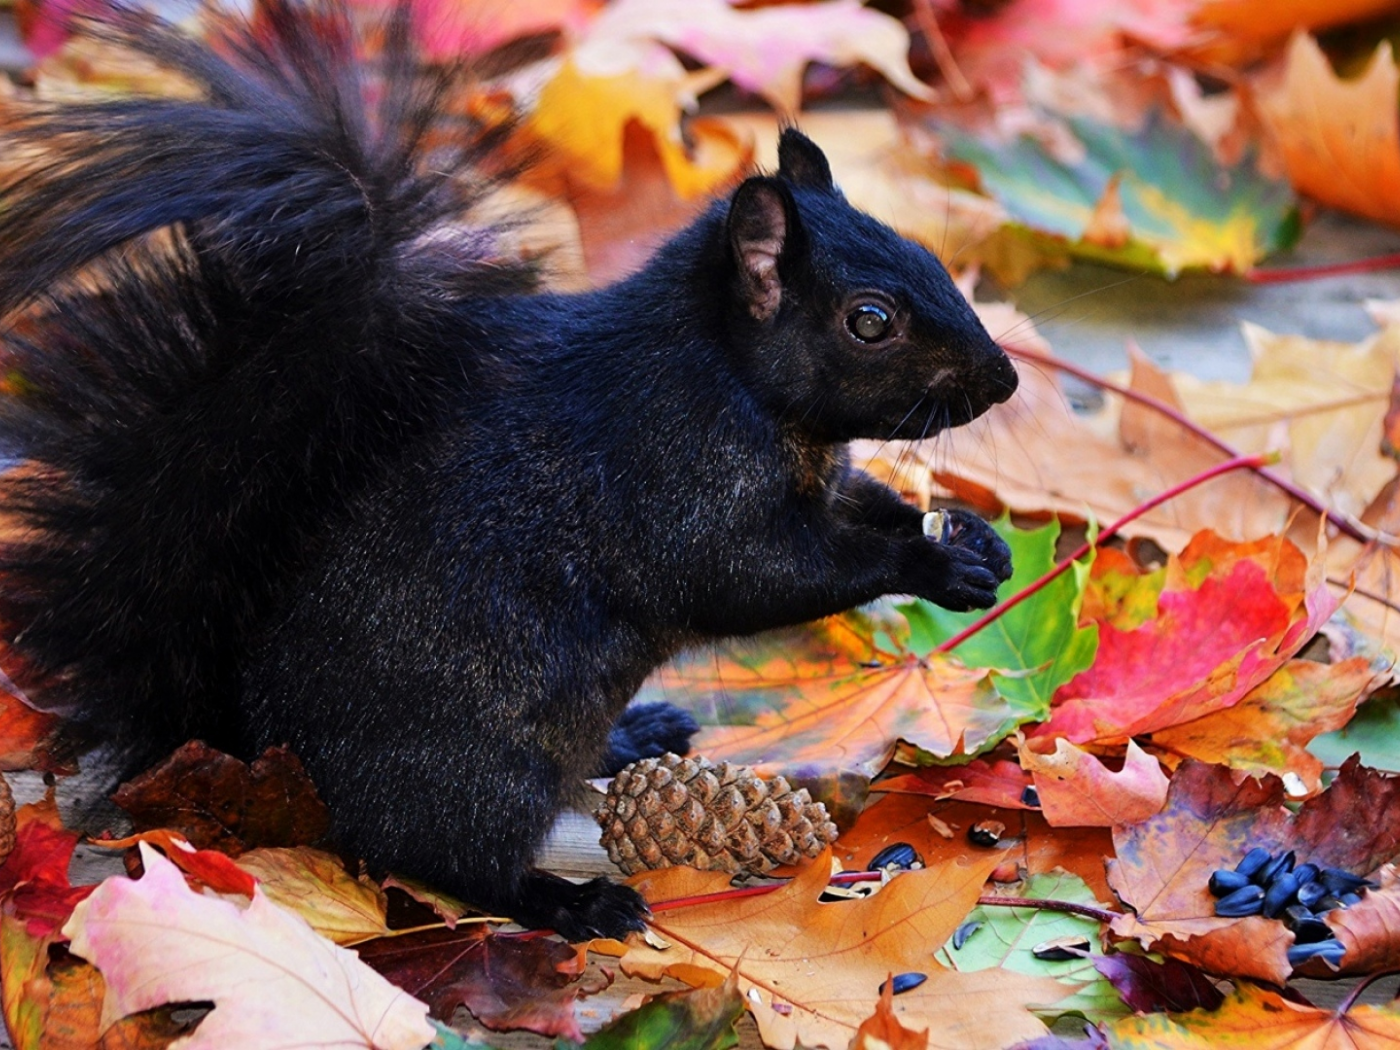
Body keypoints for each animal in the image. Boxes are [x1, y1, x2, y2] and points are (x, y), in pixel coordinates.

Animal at [0, 0, 1013, 935]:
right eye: (870, 320)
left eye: (928, 256)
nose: (1002, 379)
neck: (735, 379)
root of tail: (265, 750)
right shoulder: (673, 476)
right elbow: (756, 575)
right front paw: (926, 562)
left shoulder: (819, 477)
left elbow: (862, 504)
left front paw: (973, 544)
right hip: (482, 767)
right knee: (449, 858)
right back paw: (572, 902)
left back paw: (638, 733)